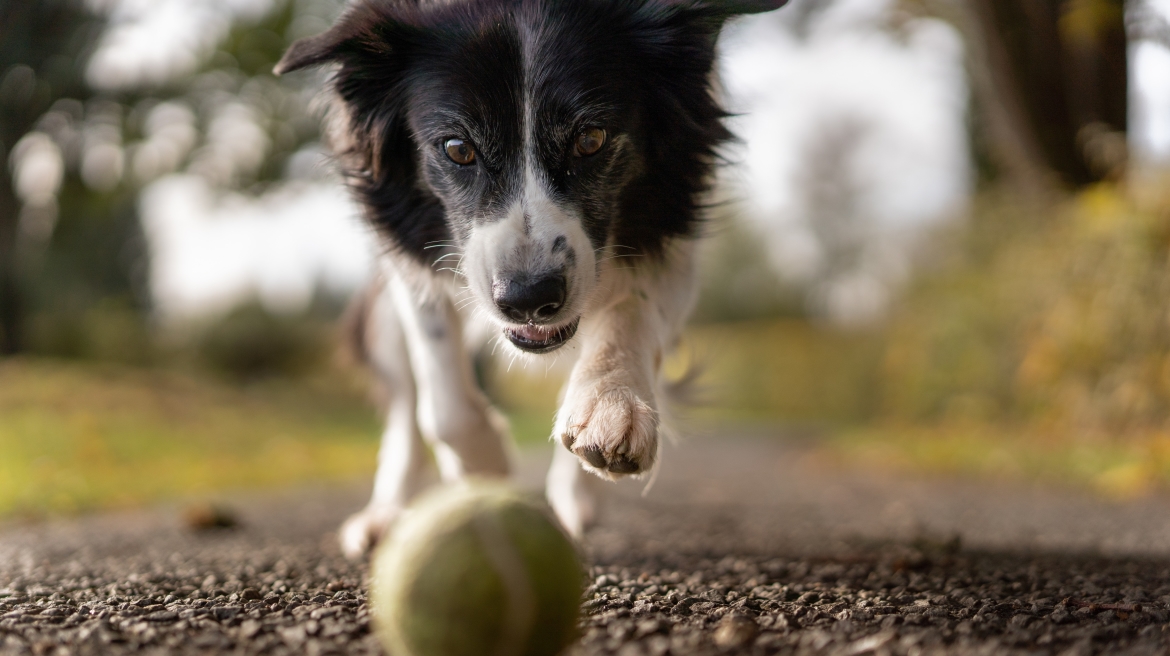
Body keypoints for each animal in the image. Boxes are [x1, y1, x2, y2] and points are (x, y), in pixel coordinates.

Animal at [273, 0, 786, 556]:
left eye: (591, 139)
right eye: (457, 148)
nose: (528, 299)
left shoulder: (675, 228)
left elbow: (631, 310)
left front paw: (611, 406)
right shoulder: (408, 255)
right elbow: (443, 401)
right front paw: (486, 470)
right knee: (406, 406)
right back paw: (385, 516)